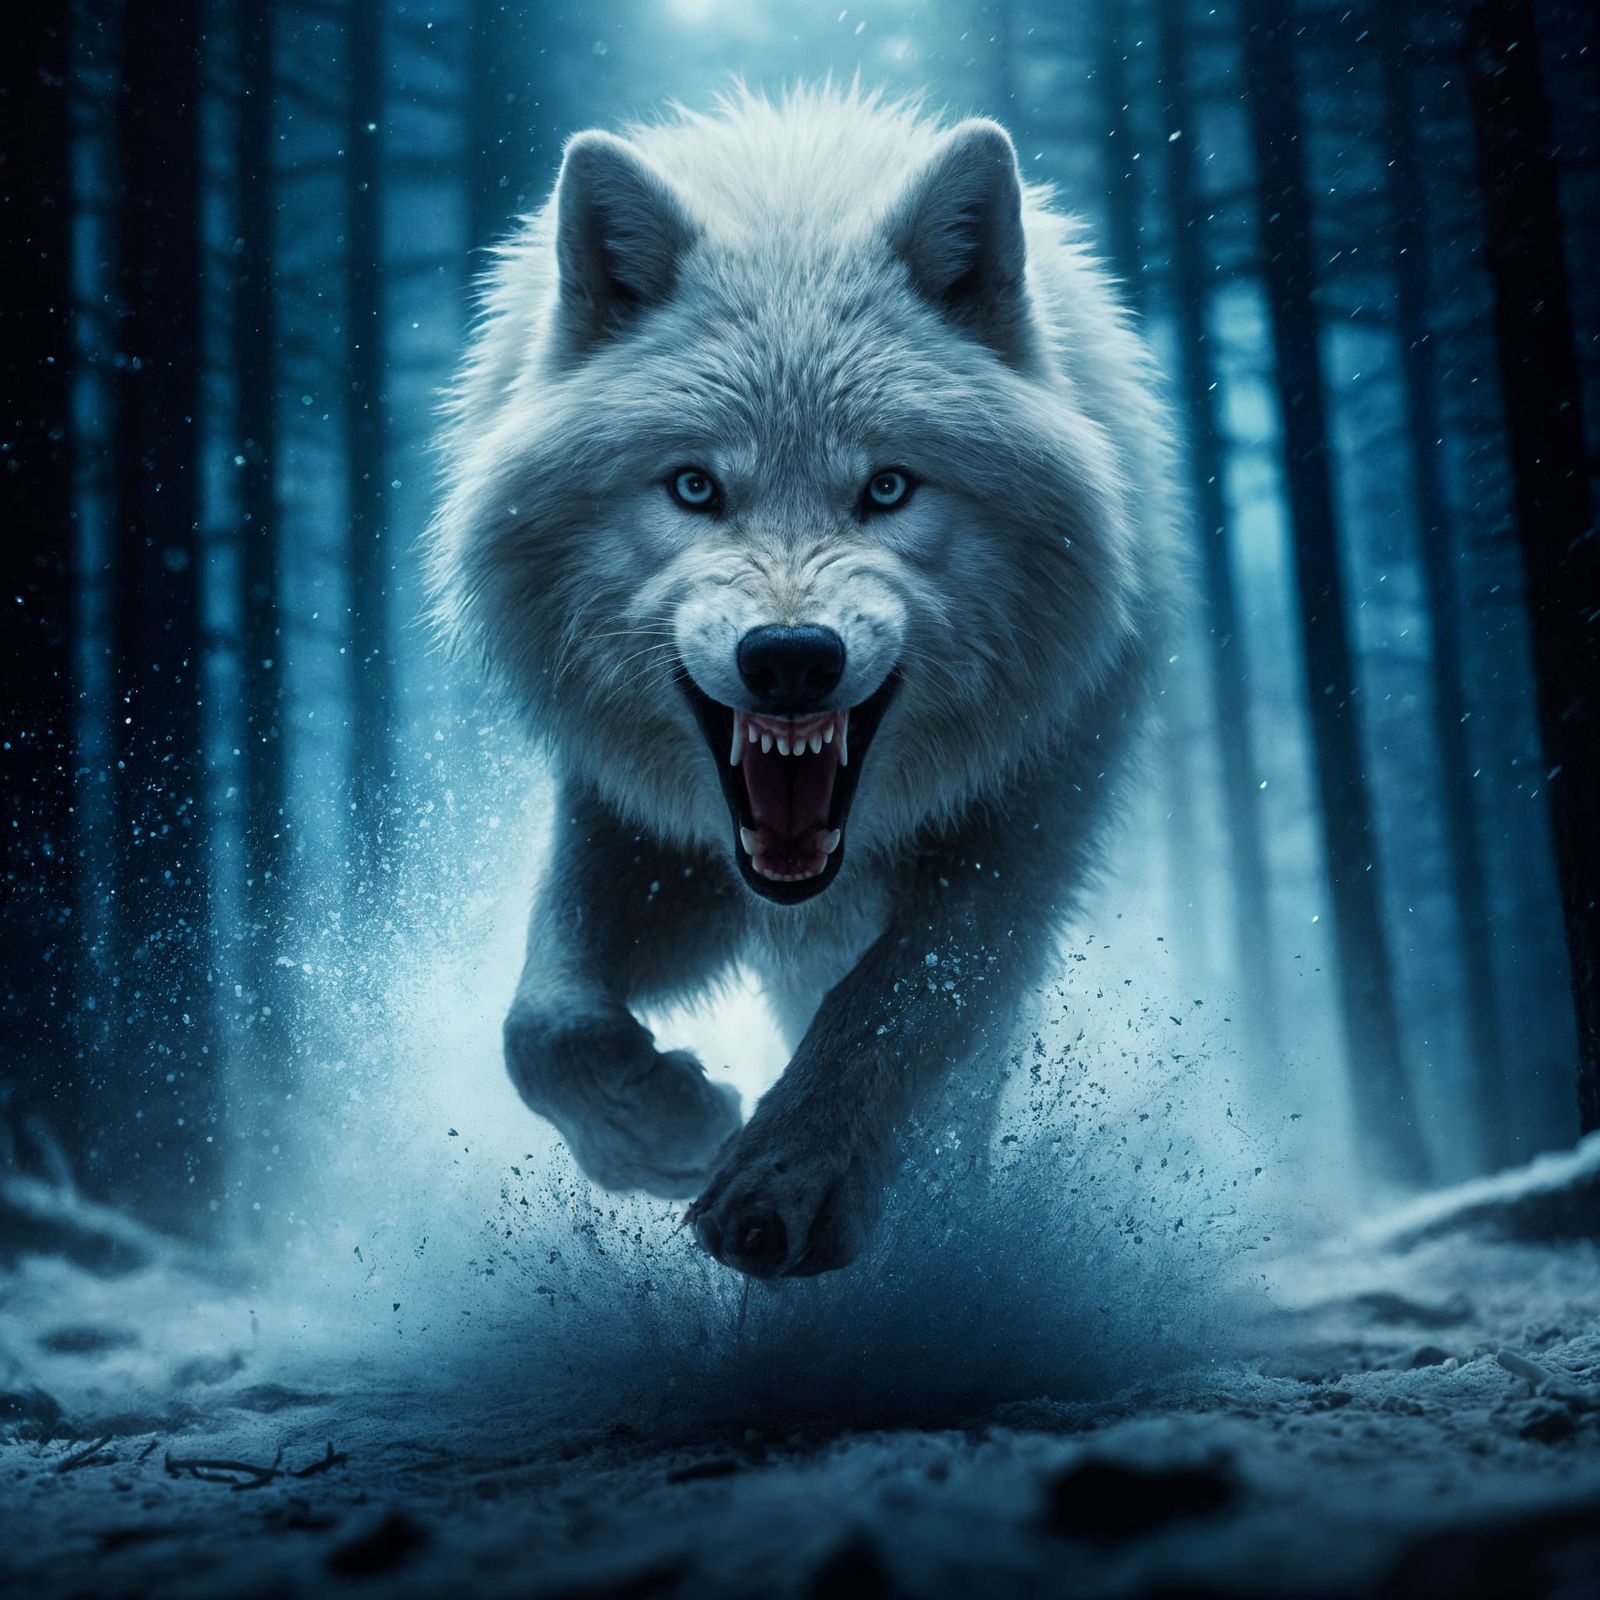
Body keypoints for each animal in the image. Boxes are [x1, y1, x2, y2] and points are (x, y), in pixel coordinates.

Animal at [428, 87, 1180, 1279]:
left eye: (888, 488)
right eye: (694, 487)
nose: (789, 656)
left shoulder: (1024, 825)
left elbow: (893, 1010)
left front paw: (786, 1184)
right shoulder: (633, 825)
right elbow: (545, 1024)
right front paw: (670, 1132)